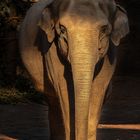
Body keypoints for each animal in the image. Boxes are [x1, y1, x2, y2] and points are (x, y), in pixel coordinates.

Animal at [18, 0, 129, 140]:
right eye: (62, 29)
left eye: (104, 30)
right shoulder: (49, 48)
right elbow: (65, 90)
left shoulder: (111, 53)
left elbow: (98, 90)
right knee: (54, 103)